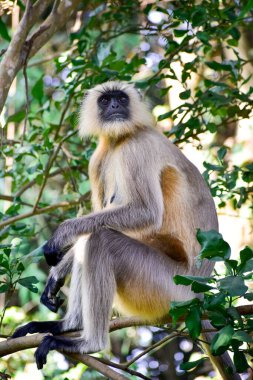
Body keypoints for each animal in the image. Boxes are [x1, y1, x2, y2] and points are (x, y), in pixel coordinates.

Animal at [11, 80, 237, 378]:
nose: (116, 106)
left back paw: (89, 343)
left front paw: (60, 236)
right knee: (93, 238)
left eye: (121, 98)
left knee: (101, 241)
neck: (118, 140)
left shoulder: (136, 148)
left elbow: (144, 213)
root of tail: (199, 296)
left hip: (167, 287)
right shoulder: (98, 159)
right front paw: (57, 275)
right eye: (106, 100)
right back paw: (69, 325)